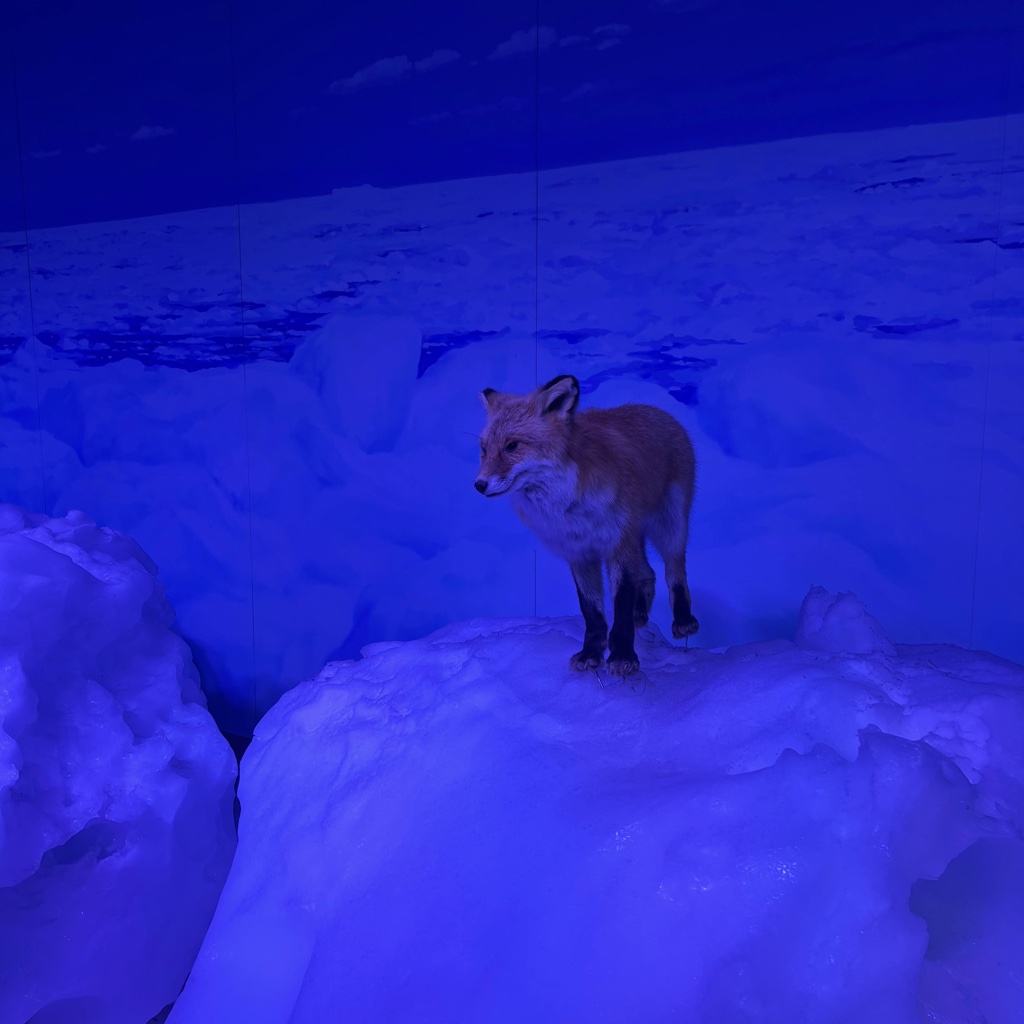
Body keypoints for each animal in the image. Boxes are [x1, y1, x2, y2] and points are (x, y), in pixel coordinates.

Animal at [474, 374, 699, 676]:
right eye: (484, 450)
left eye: (512, 445)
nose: (479, 484)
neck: (569, 506)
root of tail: (654, 410)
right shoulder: (578, 550)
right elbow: (590, 609)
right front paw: (591, 653)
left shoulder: (617, 542)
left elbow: (622, 601)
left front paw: (622, 654)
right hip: (637, 535)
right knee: (648, 573)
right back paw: (641, 611)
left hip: (669, 527)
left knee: (674, 571)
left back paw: (683, 619)